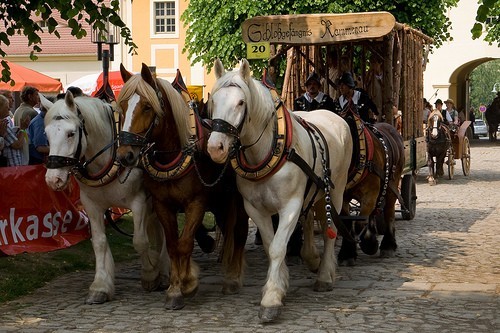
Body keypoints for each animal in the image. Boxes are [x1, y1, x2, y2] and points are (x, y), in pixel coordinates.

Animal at [43, 92, 168, 302]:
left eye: (71, 133)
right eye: (47, 134)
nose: (54, 179)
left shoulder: (139, 201)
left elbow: (140, 241)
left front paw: (150, 274)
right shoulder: (91, 205)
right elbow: (99, 242)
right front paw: (101, 285)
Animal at [117, 64, 250, 308]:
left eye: (147, 107)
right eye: (121, 107)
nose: (125, 155)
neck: (174, 154)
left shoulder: (196, 203)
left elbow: (185, 243)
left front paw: (187, 284)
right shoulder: (162, 205)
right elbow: (172, 244)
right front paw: (175, 286)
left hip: (238, 200)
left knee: (239, 233)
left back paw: (233, 278)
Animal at [205, 59, 354, 322]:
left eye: (241, 102)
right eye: (213, 100)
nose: (216, 147)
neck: (268, 150)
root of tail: (335, 116)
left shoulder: (290, 206)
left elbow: (277, 248)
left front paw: (272, 298)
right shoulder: (255, 209)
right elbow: (270, 245)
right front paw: (280, 283)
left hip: (335, 191)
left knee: (331, 230)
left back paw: (324, 274)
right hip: (312, 191)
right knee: (309, 220)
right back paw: (311, 258)